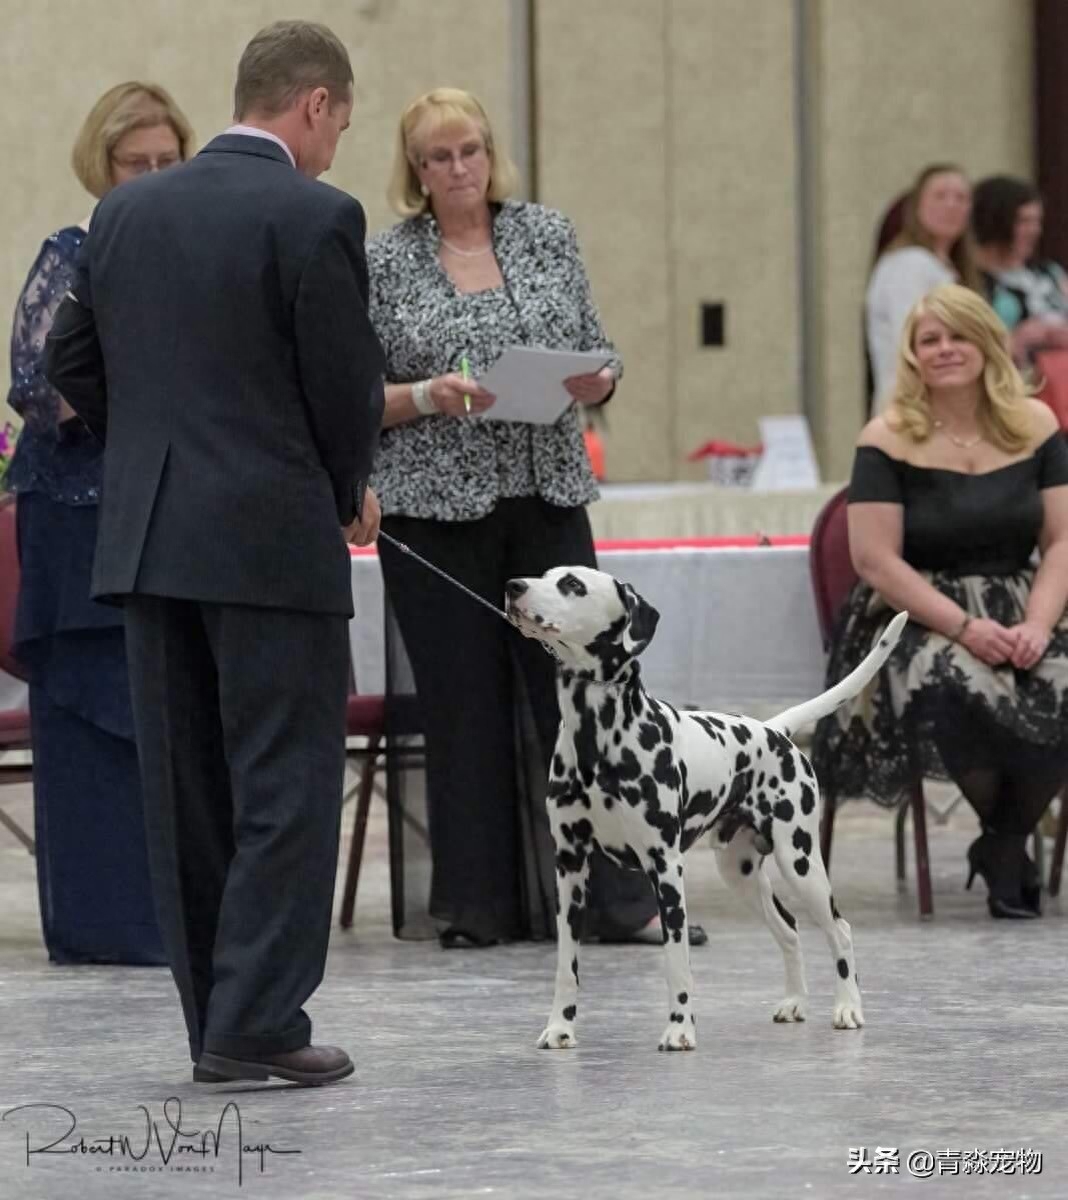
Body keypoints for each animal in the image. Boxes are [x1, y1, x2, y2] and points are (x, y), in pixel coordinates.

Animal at [504, 566, 902, 1056]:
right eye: (545, 576)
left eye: (573, 585)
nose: (513, 587)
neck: (597, 738)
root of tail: (774, 729)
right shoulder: (571, 868)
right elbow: (566, 964)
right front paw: (560, 1027)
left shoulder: (665, 869)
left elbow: (677, 960)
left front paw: (680, 1029)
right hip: (741, 873)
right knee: (789, 929)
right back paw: (794, 1002)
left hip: (801, 863)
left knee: (840, 930)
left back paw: (848, 1008)